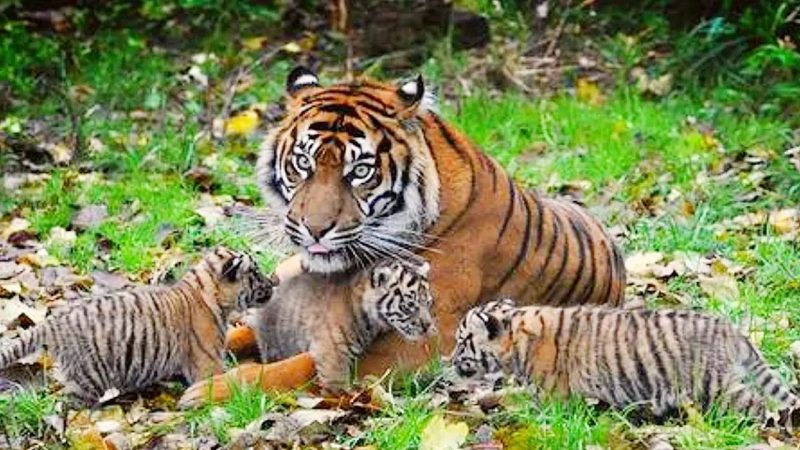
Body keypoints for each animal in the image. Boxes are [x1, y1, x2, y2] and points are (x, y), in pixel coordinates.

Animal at [180, 67, 624, 408]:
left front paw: (209, 390)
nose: (315, 228)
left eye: (359, 172)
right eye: (303, 163)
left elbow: (299, 364)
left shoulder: (417, 341)